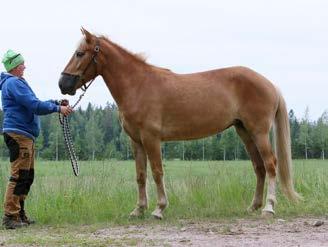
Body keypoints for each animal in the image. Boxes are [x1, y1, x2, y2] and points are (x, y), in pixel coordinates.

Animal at [58, 28, 300, 219]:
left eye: (80, 53)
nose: (63, 84)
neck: (138, 85)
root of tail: (269, 84)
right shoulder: (136, 141)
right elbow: (141, 175)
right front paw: (138, 209)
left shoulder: (151, 138)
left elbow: (157, 172)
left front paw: (159, 209)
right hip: (244, 132)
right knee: (259, 167)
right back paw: (253, 206)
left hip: (259, 132)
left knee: (270, 165)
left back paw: (268, 208)